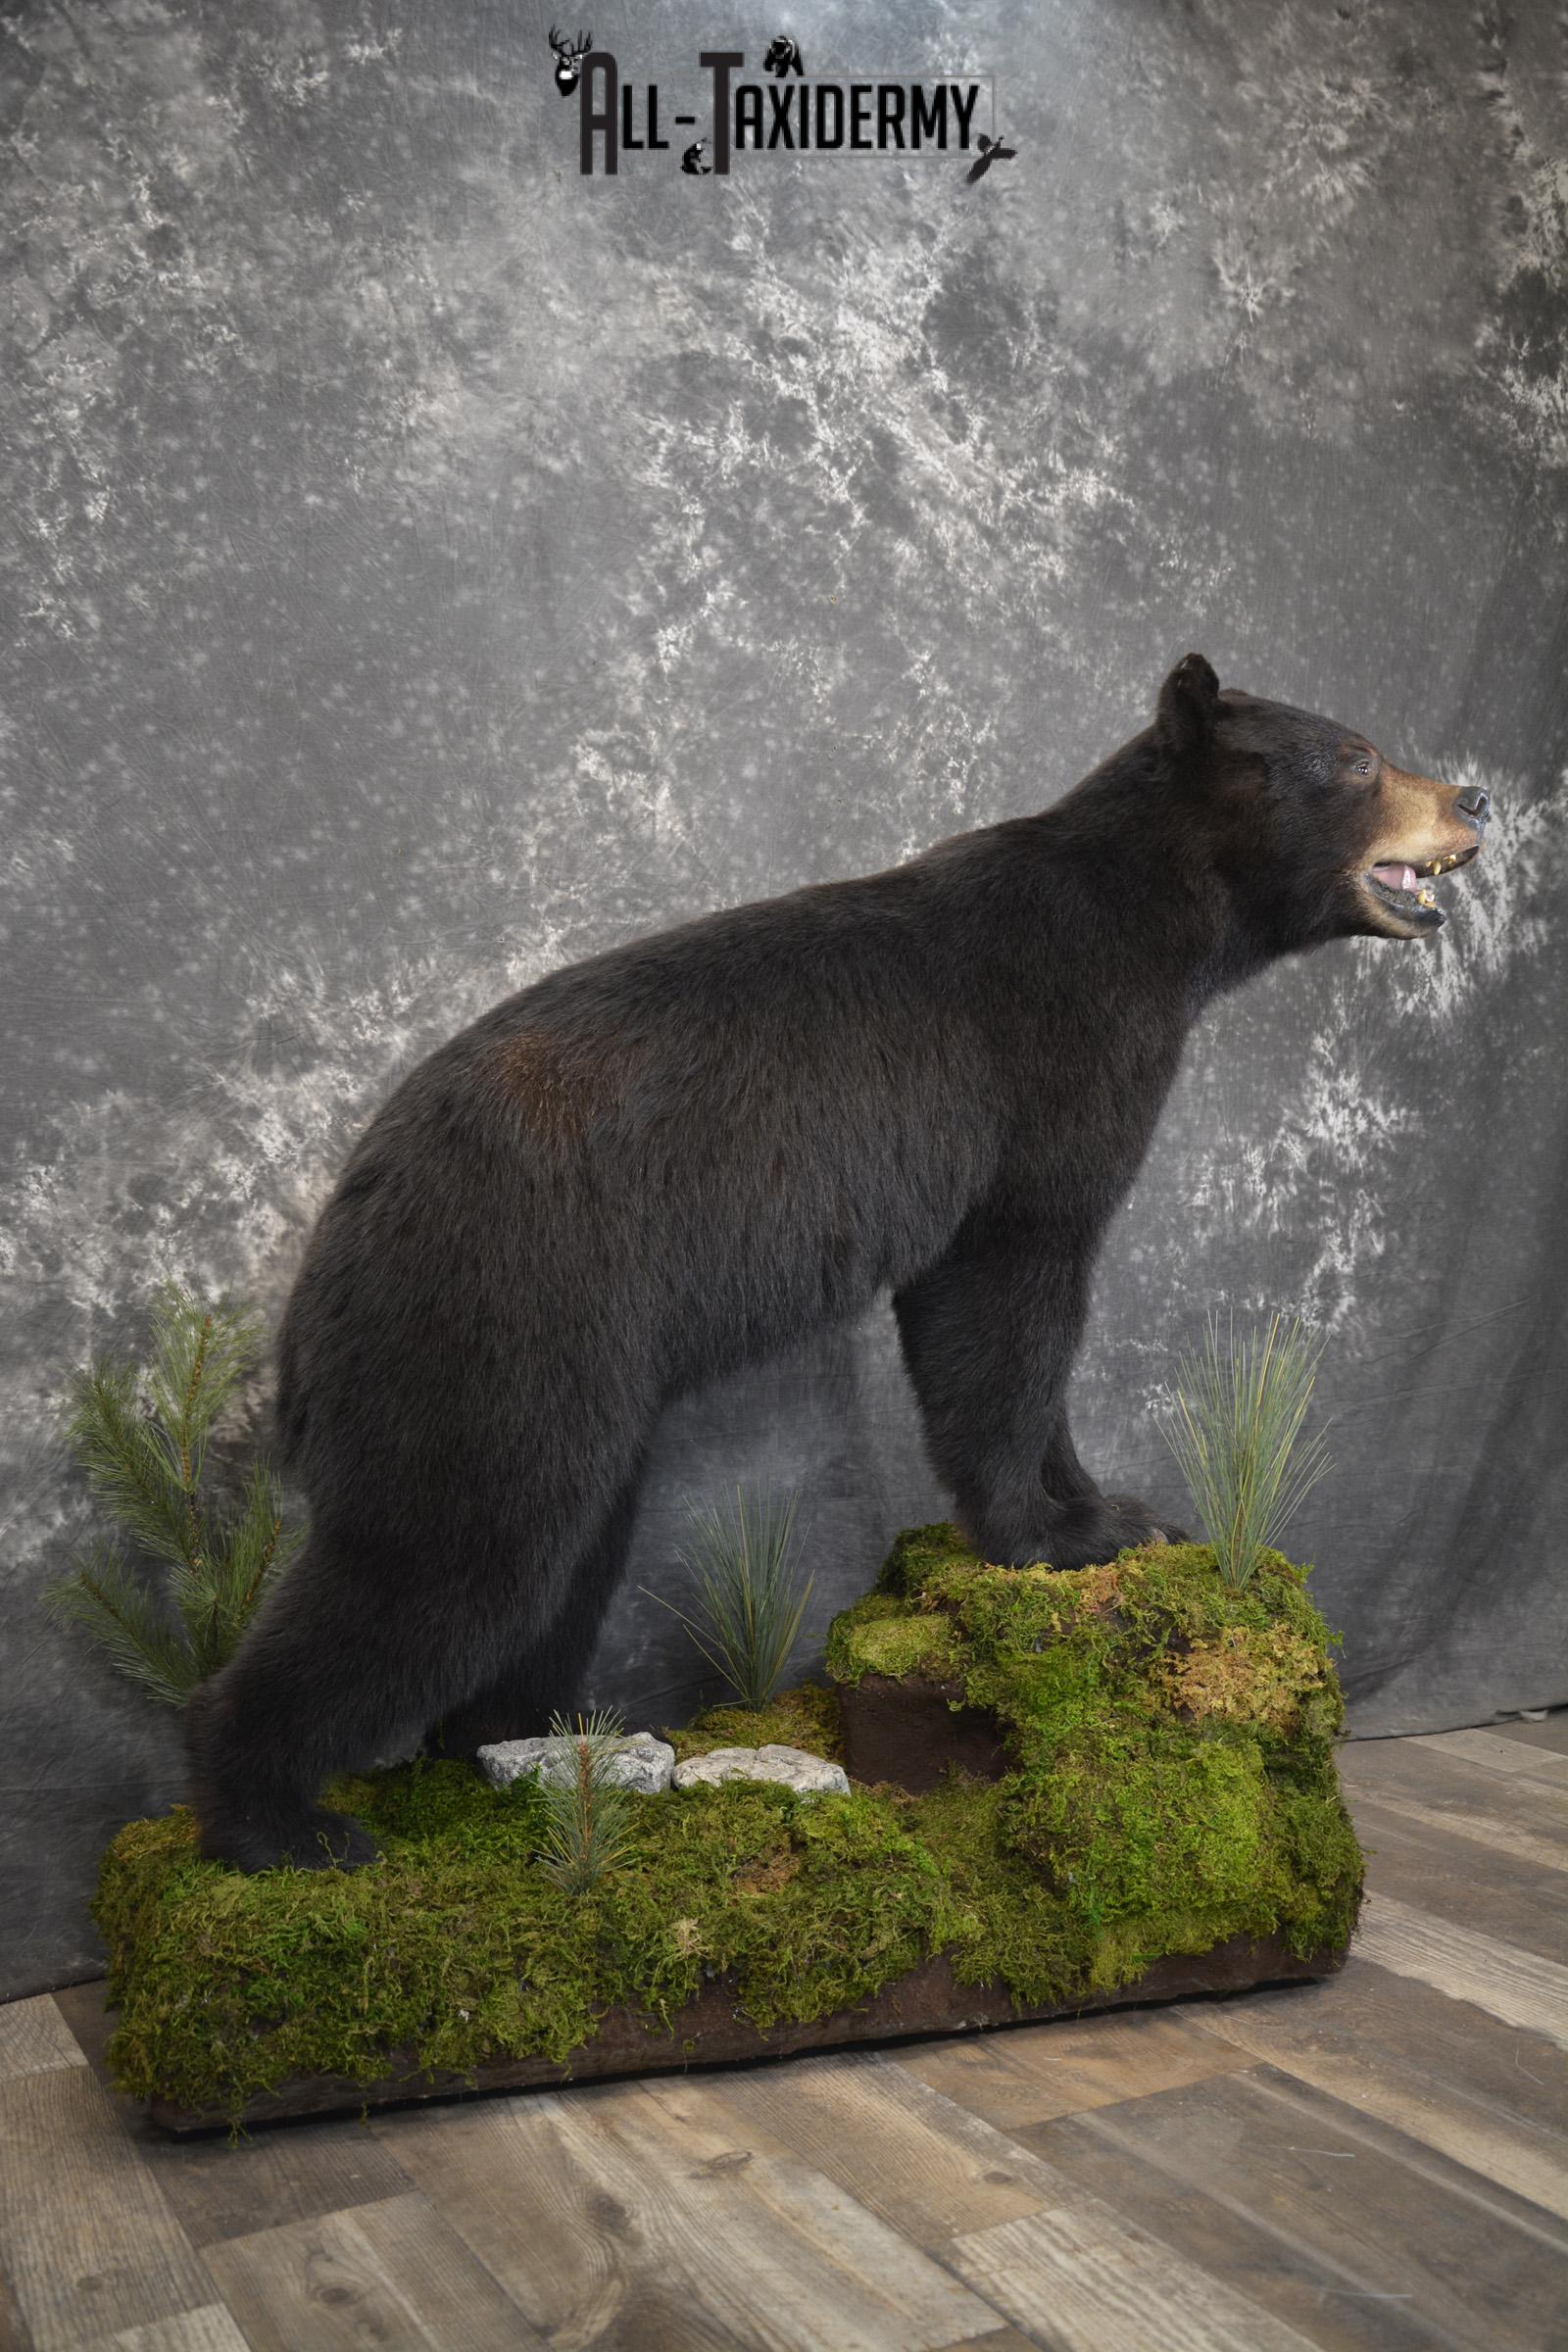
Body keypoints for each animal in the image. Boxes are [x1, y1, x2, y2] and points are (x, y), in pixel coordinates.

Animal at [184, 654, 1489, 1870]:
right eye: (1356, 757)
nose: (1473, 795)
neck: (1153, 926)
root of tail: (335, 1241)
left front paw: (1114, 1508)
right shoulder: (1041, 1083)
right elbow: (1006, 1301)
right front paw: (1045, 1533)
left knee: (550, 1567)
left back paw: (543, 1737)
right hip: (498, 1319)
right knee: (444, 1551)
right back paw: (279, 1822)